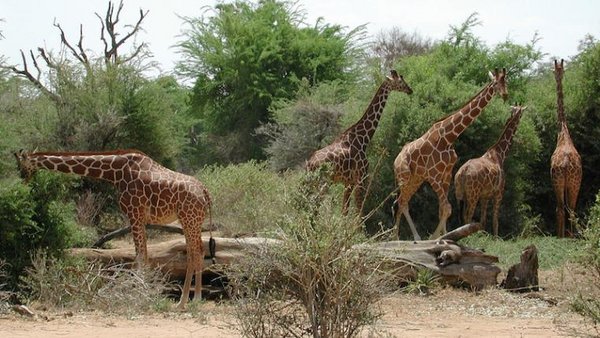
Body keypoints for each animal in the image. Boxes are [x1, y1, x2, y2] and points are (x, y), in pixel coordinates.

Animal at [13, 149, 213, 308]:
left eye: (21, 165)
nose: (22, 180)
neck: (114, 172)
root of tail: (205, 192)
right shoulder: (140, 218)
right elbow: (145, 256)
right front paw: (145, 291)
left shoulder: (134, 214)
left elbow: (139, 257)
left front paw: (140, 294)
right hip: (193, 221)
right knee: (200, 250)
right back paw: (194, 299)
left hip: (189, 219)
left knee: (194, 252)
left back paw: (186, 301)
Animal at [304, 70, 412, 215]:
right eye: (401, 80)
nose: (410, 90)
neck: (363, 139)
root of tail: (310, 164)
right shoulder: (360, 179)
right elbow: (358, 211)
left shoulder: (348, 182)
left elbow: (345, 211)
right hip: (323, 183)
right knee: (313, 206)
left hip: (312, 183)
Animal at [392, 67, 508, 239]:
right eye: (495, 83)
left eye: (506, 82)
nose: (505, 95)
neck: (448, 137)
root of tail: (395, 160)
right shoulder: (433, 175)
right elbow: (447, 208)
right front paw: (436, 238)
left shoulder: (447, 174)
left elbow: (443, 209)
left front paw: (445, 236)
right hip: (404, 177)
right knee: (402, 202)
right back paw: (403, 238)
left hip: (415, 179)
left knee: (402, 201)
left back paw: (399, 237)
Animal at [454, 104, 524, 236]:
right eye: (521, 113)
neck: (500, 154)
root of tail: (463, 172)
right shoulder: (498, 193)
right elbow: (495, 220)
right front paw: (495, 237)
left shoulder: (485, 195)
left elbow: (483, 220)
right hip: (473, 194)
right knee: (468, 216)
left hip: (460, 193)